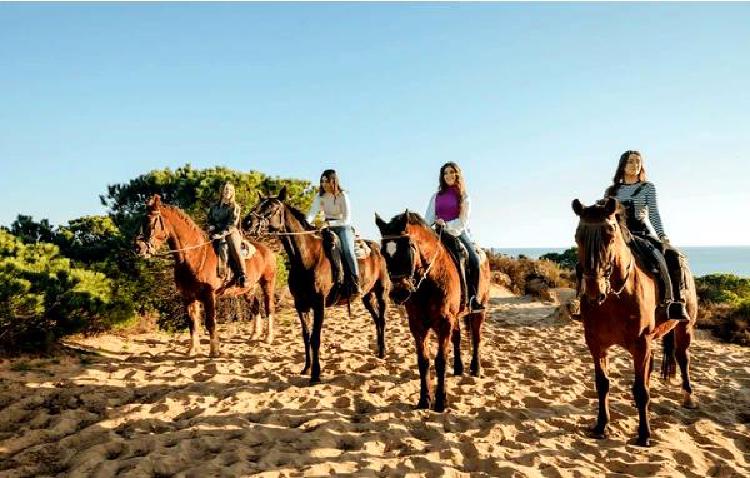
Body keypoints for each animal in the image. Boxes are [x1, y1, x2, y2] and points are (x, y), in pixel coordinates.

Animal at [136, 193, 280, 354]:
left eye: (151, 221)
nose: (138, 247)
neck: (196, 255)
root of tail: (267, 250)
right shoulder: (188, 296)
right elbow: (192, 323)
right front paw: (193, 349)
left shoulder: (209, 295)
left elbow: (210, 322)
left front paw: (214, 351)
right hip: (248, 289)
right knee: (255, 306)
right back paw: (254, 335)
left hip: (268, 283)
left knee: (269, 307)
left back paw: (268, 338)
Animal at [242, 187, 394, 384]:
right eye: (258, 204)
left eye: (273, 207)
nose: (247, 222)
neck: (307, 257)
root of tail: (376, 247)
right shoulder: (301, 304)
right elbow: (306, 336)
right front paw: (306, 368)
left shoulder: (319, 304)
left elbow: (315, 338)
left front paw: (315, 374)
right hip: (366, 296)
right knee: (376, 319)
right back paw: (379, 349)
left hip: (382, 292)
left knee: (382, 319)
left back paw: (383, 352)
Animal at [376, 211, 494, 412]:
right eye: (384, 253)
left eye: (408, 249)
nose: (399, 293)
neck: (429, 282)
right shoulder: (417, 325)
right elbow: (423, 361)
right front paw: (424, 399)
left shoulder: (444, 323)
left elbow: (440, 361)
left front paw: (440, 401)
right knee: (458, 337)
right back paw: (459, 368)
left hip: (478, 312)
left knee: (477, 338)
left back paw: (476, 369)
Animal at [576, 196, 700, 446]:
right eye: (578, 236)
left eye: (610, 234)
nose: (594, 292)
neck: (615, 296)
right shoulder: (596, 344)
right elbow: (602, 384)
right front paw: (601, 426)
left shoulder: (641, 342)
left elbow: (641, 390)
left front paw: (644, 434)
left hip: (684, 328)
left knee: (683, 358)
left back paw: (688, 397)